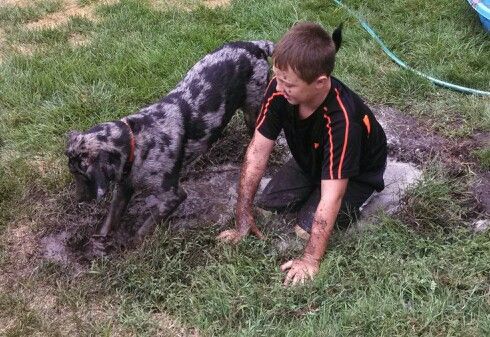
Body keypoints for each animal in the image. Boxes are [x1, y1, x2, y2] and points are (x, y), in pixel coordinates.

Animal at [65, 41, 274, 247]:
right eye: (72, 173)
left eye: (83, 175)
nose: (78, 200)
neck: (137, 145)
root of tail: (257, 45)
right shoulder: (123, 187)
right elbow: (111, 218)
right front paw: (99, 240)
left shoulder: (173, 195)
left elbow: (146, 226)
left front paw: (133, 246)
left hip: (254, 107)